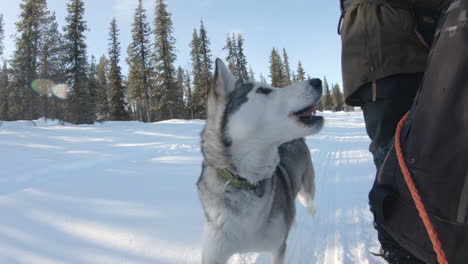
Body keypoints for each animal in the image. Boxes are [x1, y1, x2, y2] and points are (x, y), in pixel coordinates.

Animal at [196, 58, 324, 262]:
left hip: (306, 191)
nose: (317, 81)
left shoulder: (278, 249)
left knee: (310, 206)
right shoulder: (213, 253)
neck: (246, 183)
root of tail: (299, 140)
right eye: (263, 90)